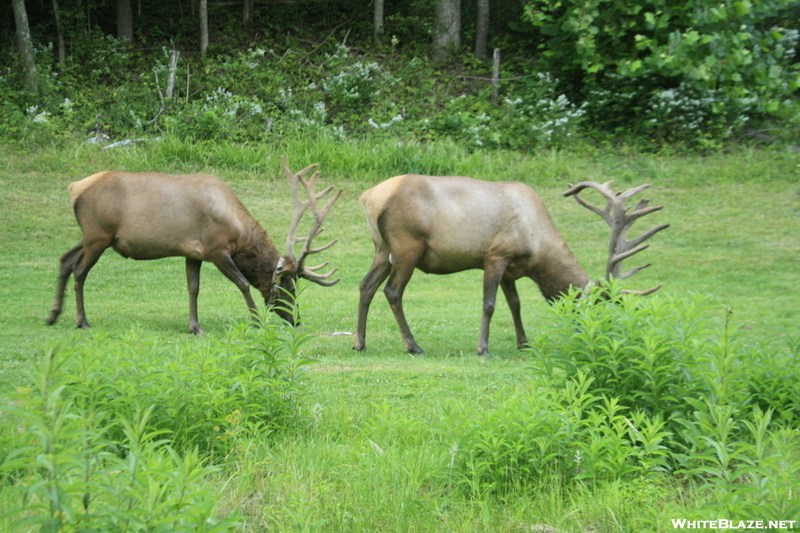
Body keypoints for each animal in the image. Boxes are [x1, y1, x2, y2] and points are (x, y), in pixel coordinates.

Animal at [47, 156, 340, 332]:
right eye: (290, 287)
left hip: (91, 237)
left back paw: (53, 314)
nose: (296, 320)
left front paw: (194, 326)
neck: (238, 232)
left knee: (65, 259)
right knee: (80, 270)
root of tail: (74, 188)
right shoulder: (216, 249)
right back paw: (81, 320)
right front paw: (256, 322)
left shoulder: (193, 253)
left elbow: (193, 288)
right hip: (98, 234)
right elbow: (243, 283)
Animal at [354, 175, 668, 356]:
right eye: (598, 311)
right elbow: (489, 304)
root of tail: (368, 197)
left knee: (365, 285)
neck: (537, 249)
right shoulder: (495, 255)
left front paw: (523, 343)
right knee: (393, 291)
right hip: (407, 246)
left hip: (382, 248)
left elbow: (515, 304)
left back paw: (360, 342)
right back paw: (413, 346)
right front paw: (482, 348)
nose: (595, 341)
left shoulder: (511, 268)